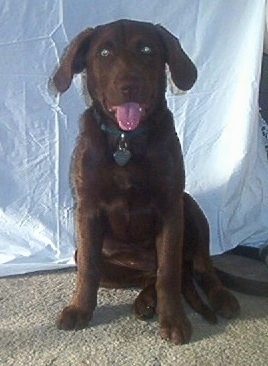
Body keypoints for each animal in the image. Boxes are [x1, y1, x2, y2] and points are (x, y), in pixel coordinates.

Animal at [51, 19, 239, 346]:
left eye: (147, 49)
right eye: (104, 53)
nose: (130, 84)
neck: (126, 141)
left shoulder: (170, 208)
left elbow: (169, 274)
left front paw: (173, 320)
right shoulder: (87, 209)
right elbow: (87, 268)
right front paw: (79, 310)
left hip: (191, 206)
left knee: (199, 266)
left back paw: (219, 296)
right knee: (146, 275)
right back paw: (145, 302)